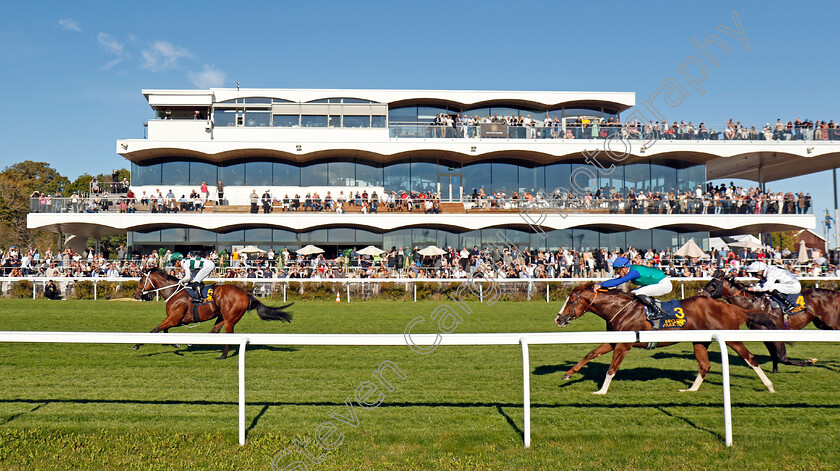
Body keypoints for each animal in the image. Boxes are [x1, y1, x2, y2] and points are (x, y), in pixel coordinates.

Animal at [133, 268, 294, 360]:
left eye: (141, 280)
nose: (136, 294)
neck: (173, 292)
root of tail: (246, 294)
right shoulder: (175, 320)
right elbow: (164, 330)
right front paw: (176, 344)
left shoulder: (174, 319)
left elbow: (155, 330)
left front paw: (136, 345)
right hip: (222, 316)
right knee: (214, 331)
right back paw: (194, 343)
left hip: (230, 319)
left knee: (228, 336)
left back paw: (222, 356)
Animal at [556, 286, 776, 396]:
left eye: (572, 300)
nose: (558, 319)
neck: (619, 309)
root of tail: (728, 306)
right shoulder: (614, 341)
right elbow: (590, 354)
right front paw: (568, 374)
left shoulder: (624, 344)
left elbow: (611, 369)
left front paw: (601, 391)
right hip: (700, 341)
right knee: (704, 365)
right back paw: (691, 389)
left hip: (730, 337)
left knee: (750, 358)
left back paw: (770, 386)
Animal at [700, 272, 836, 372]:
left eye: (713, 283)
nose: (701, 294)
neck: (755, 305)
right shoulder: (764, 334)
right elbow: (774, 355)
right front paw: (775, 371)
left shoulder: (777, 330)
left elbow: (783, 358)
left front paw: (808, 362)